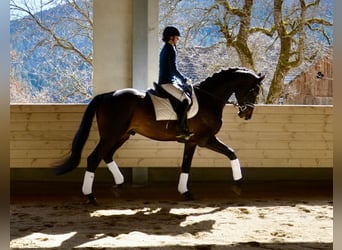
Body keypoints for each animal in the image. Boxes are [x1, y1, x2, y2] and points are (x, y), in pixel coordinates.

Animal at [55, 67, 264, 203]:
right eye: (254, 90)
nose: (247, 114)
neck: (209, 99)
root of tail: (107, 95)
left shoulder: (192, 142)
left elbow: (186, 165)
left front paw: (185, 192)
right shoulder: (205, 139)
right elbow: (231, 152)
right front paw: (237, 185)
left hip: (122, 135)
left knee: (107, 155)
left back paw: (118, 185)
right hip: (111, 135)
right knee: (94, 158)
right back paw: (90, 197)